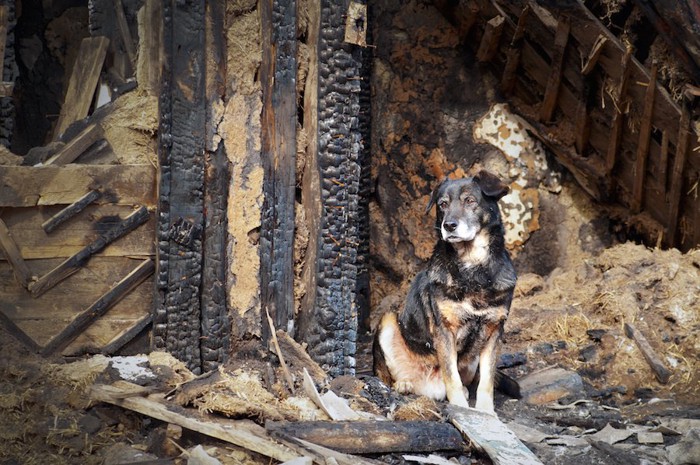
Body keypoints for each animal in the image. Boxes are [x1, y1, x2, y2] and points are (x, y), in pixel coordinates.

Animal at [374, 170, 516, 414]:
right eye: (442, 204)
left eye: (470, 201)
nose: (449, 225)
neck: (473, 269)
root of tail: (429, 386)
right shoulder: (445, 330)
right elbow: (452, 377)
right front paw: (460, 406)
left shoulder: (494, 331)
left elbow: (486, 381)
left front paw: (487, 411)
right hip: (388, 320)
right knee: (388, 376)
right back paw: (404, 383)